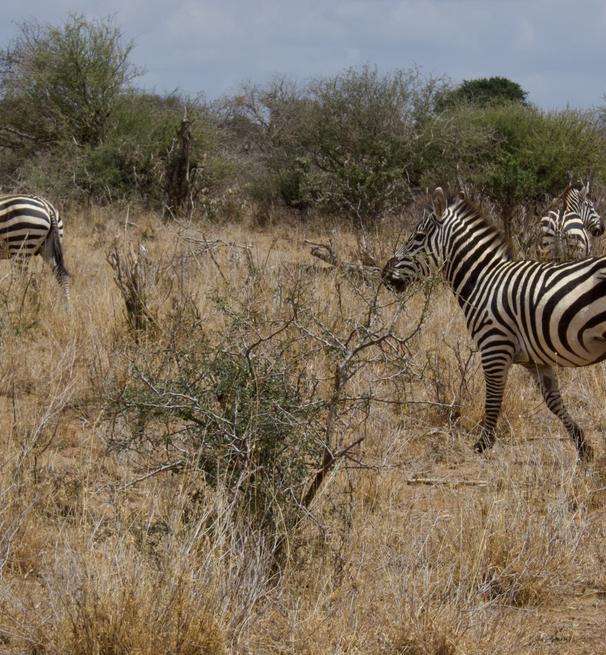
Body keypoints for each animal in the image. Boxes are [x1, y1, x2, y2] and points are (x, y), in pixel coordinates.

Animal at [382, 187, 606, 461]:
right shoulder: (536, 359)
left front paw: (483, 444)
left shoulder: (494, 347)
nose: (384, 275)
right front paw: (582, 446)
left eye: (418, 237)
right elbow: (554, 401)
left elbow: (493, 399)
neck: (483, 279)